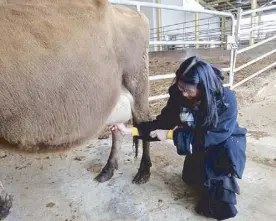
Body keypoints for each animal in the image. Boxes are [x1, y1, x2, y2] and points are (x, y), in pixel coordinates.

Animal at [0, 0, 152, 218]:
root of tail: (131, 12)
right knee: (117, 128)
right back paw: (108, 169)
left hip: (137, 82)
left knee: (144, 121)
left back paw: (144, 172)